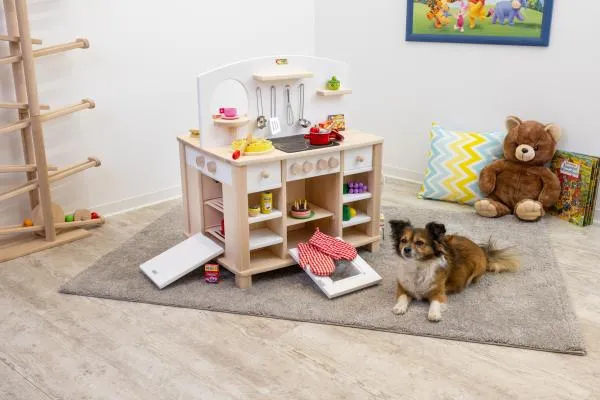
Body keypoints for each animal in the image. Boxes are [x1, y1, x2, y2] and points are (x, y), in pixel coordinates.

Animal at [390, 219, 520, 322]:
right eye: (403, 240)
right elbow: (402, 296)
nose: (406, 249)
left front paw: (434, 313)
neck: (418, 266)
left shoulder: (439, 292)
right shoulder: (403, 287)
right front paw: (399, 307)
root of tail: (482, 251)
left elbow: (435, 302)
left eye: (419, 243)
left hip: (476, 270)